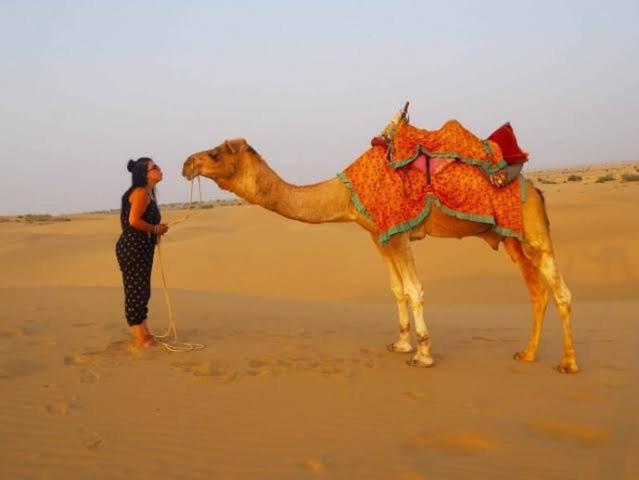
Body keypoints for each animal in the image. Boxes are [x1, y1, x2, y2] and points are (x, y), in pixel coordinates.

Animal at [184, 118, 580, 374]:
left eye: (215, 153)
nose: (187, 162)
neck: (345, 193)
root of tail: (535, 188)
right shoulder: (379, 236)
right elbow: (397, 290)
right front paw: (401, 344)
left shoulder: (398, 232)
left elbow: (415, 289)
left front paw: (422, 355)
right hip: (510, 236)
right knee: (536, 289)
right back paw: (526, 354)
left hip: (533, 230)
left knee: (559, 289)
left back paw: (568, 363)